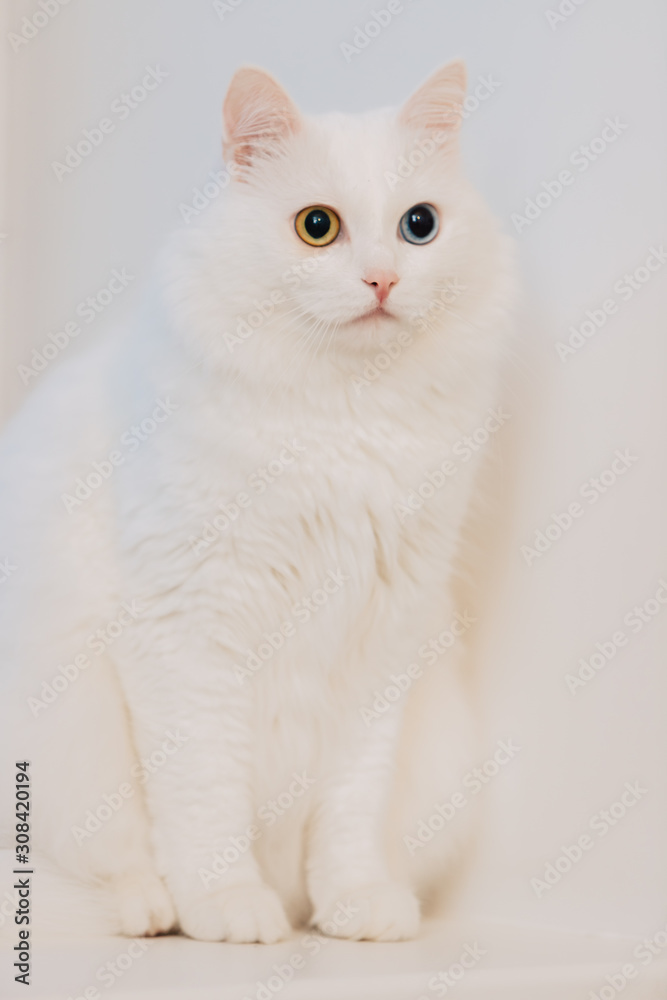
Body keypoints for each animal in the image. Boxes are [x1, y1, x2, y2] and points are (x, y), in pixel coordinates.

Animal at [0, 64, 516, 944]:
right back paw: (148, 911)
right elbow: (204, 802)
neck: (342, 422)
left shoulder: (383, 642)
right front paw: (228, 909)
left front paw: (354, 909)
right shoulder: (185, 633)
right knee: (80, 879)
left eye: (419, 225)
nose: (383, 279)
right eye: (317, 227)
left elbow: (349, 813)